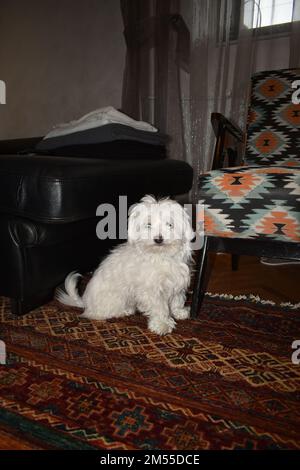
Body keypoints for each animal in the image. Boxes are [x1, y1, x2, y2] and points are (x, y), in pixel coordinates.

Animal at [56, 195, 195, 334]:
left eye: (170, 224)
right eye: (148, 225)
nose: (158, 239)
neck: (161, 256)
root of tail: (85, 303)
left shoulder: (177, 282)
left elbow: (177, 300)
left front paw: (179, 312)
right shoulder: (152, 290)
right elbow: (160, 307)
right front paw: (162, 324)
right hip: (117, 298)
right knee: (103, 313)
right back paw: (125, 310)